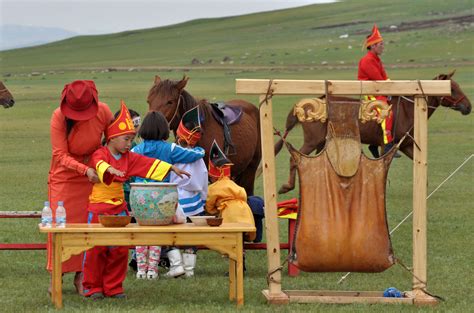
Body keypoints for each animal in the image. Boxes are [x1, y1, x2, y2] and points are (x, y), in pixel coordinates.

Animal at [276, 71, 472, 193]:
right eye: (452, 89)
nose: (468, 107)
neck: (408, 110)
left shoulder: (407, 146)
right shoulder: (391, 146)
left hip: (321, 142)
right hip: (312, 141)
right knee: (294, 159)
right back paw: (287, 186)